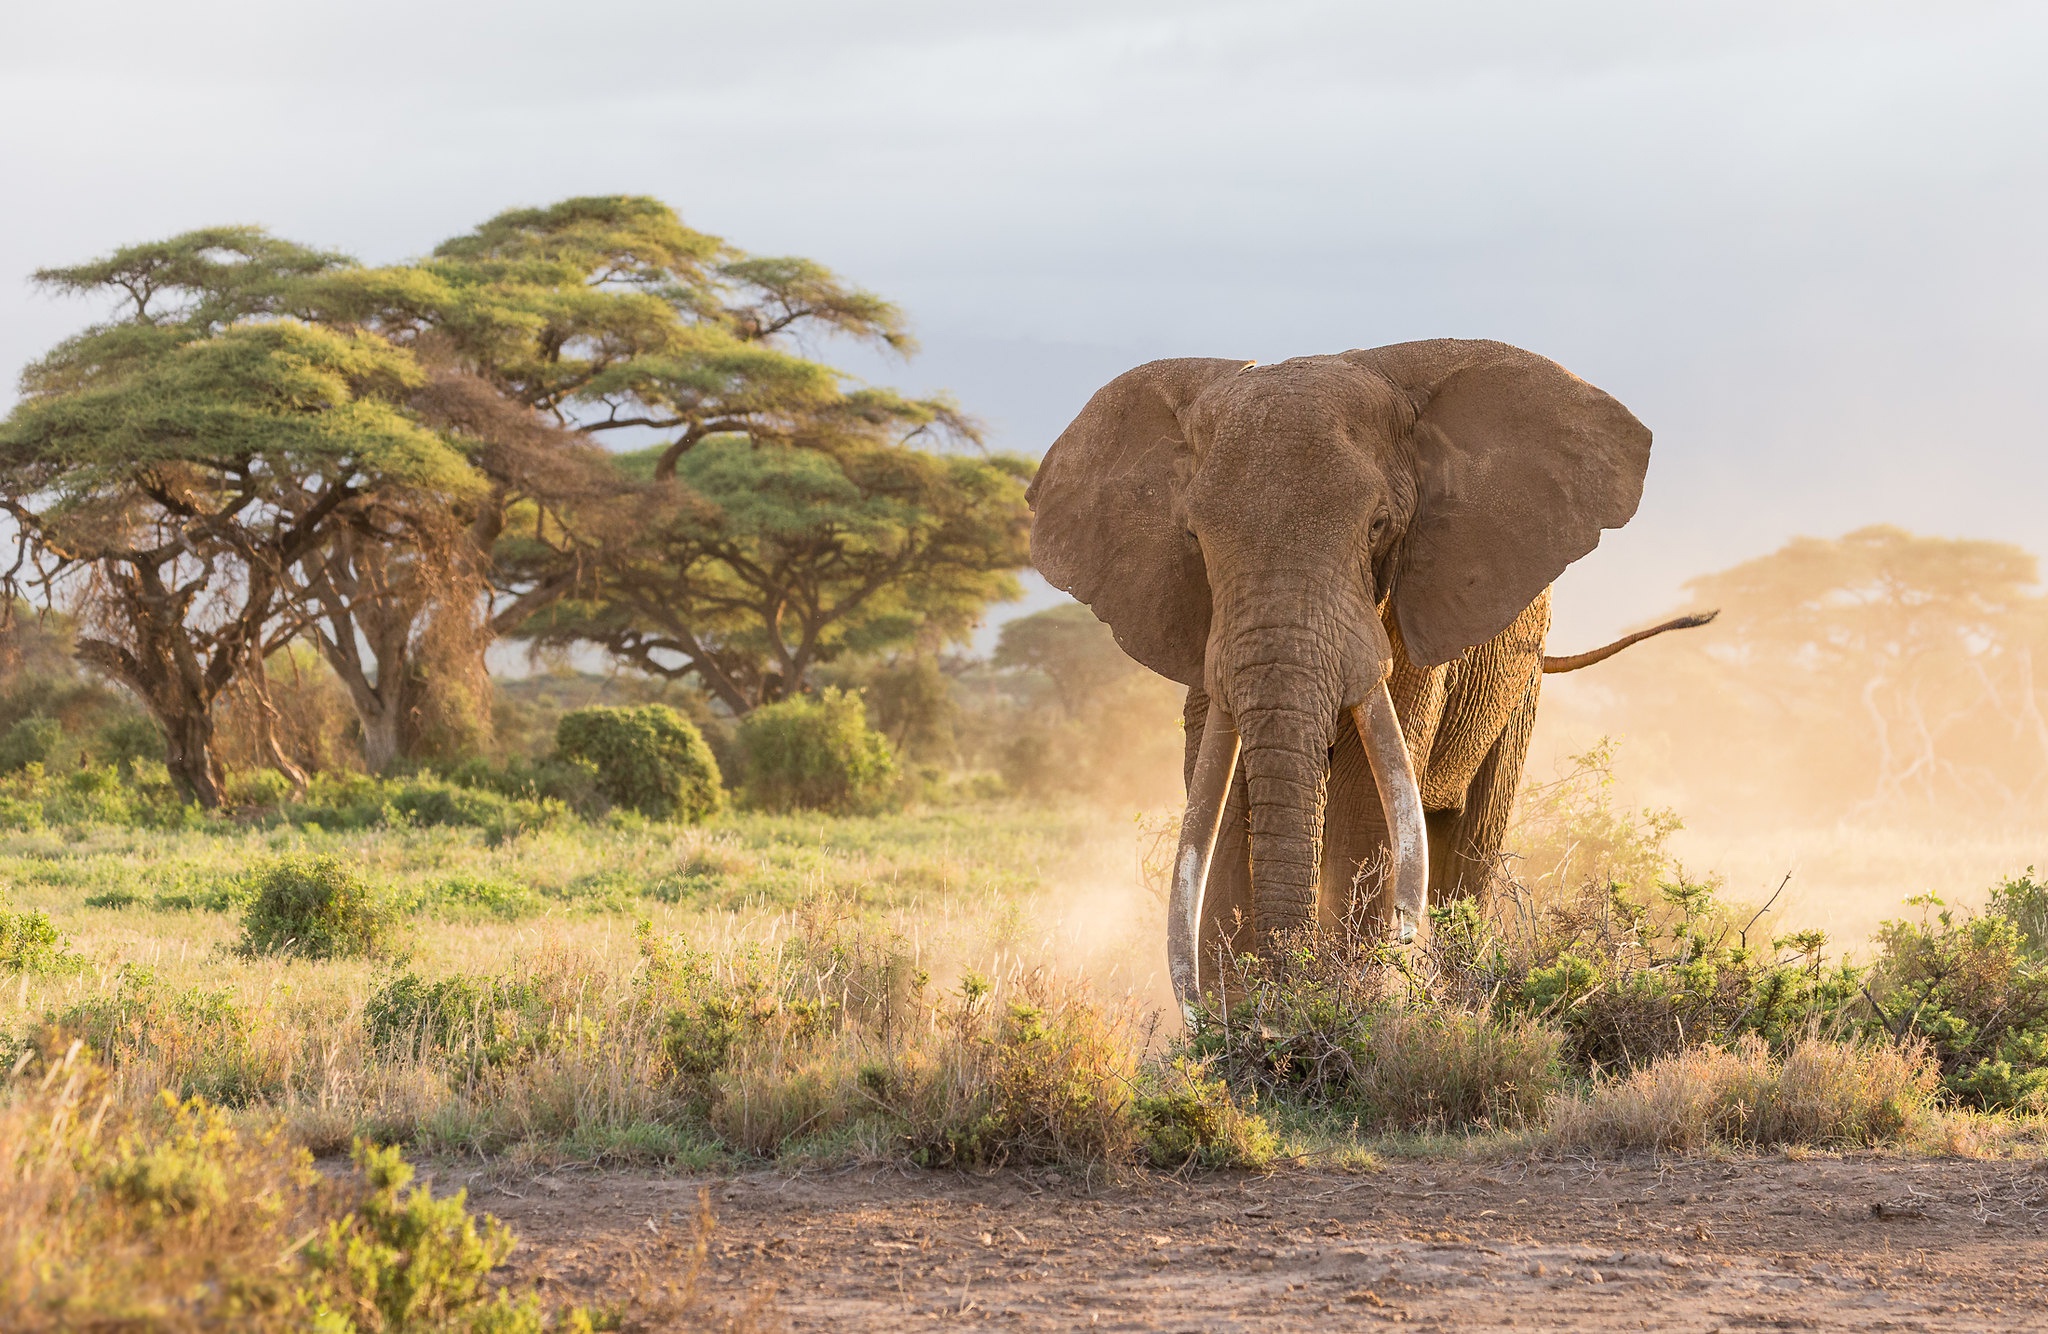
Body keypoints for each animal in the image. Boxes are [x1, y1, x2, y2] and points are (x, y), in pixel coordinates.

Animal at [1024, 340, 1712, 1008]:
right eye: (1193, 537)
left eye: (1379, 527)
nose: (1276, 991)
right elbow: (1217, 792)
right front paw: (1233, 1019)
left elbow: (1363, 794)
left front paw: (1339, 999)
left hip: (1520, 681)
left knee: (1472, 841)